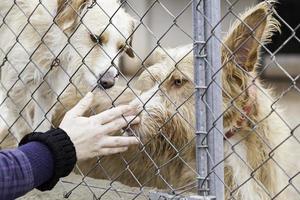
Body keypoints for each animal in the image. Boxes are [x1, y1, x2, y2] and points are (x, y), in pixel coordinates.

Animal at [0, 0, 136, 141]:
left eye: (121, 48)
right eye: (95, 38)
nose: (108, 83)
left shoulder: (47, 89)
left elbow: (42, 124)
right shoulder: (14, 87)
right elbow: (23, 129)